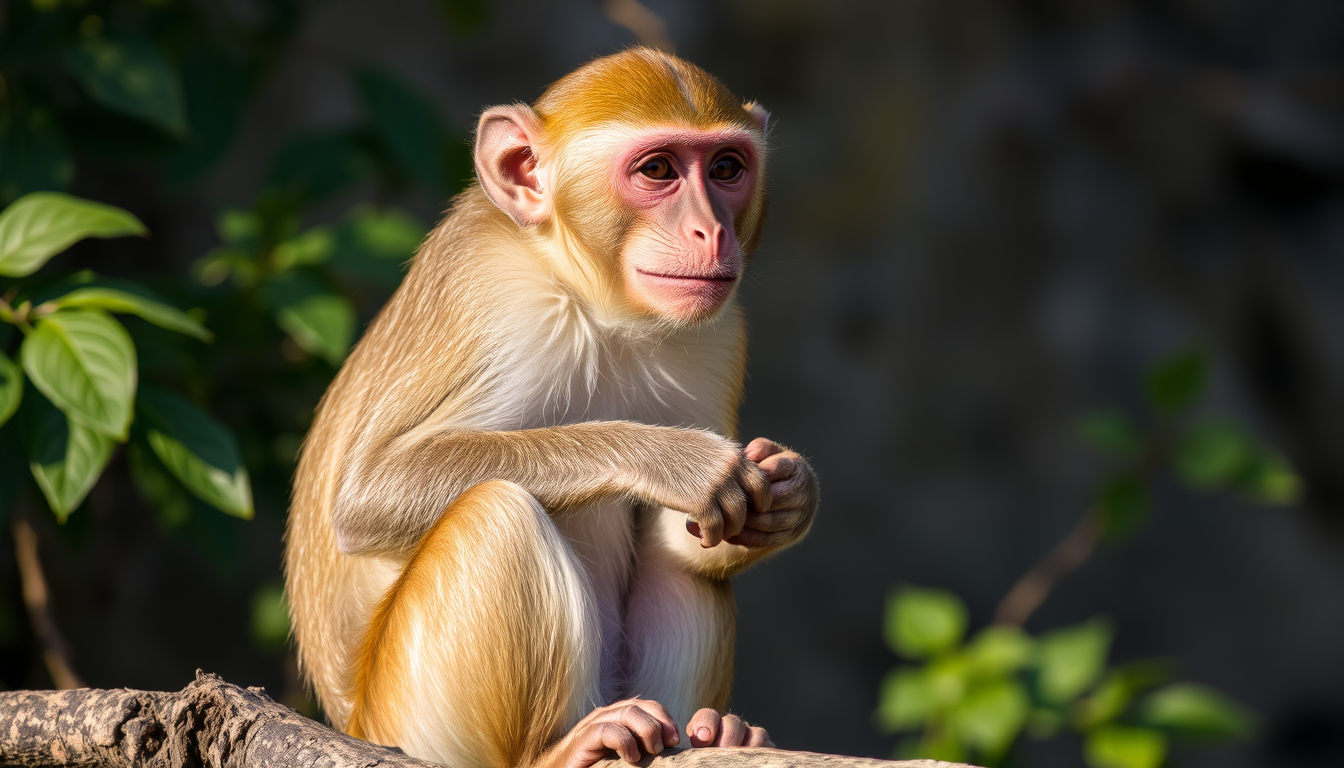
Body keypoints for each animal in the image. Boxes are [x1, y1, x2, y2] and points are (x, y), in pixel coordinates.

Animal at [284, 47, 819, 768]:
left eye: (727, 168)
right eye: (658, 170)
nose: (712, 232)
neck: (596, 303)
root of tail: (349, 719)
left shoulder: (719, 334)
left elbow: (693, 531)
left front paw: (788, 496)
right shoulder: (489, 291)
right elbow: (367, 495)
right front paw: (674, 461)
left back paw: (715, 733)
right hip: (408, 721)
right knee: (497, 512)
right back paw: (558, 750)